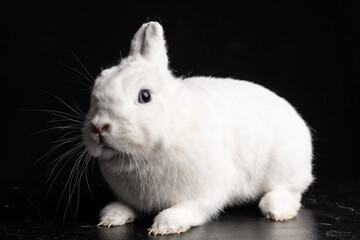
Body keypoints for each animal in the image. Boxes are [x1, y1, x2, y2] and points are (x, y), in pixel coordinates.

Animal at [81, 21, 312, 235]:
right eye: (96, 88)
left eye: (145, 96)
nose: (99, 127)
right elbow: (127, 207)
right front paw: (111, 216)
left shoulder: (207, 192)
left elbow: (195, 208)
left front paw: (166, 225)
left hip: (286, 167)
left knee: (290, 190)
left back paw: (278, 209)